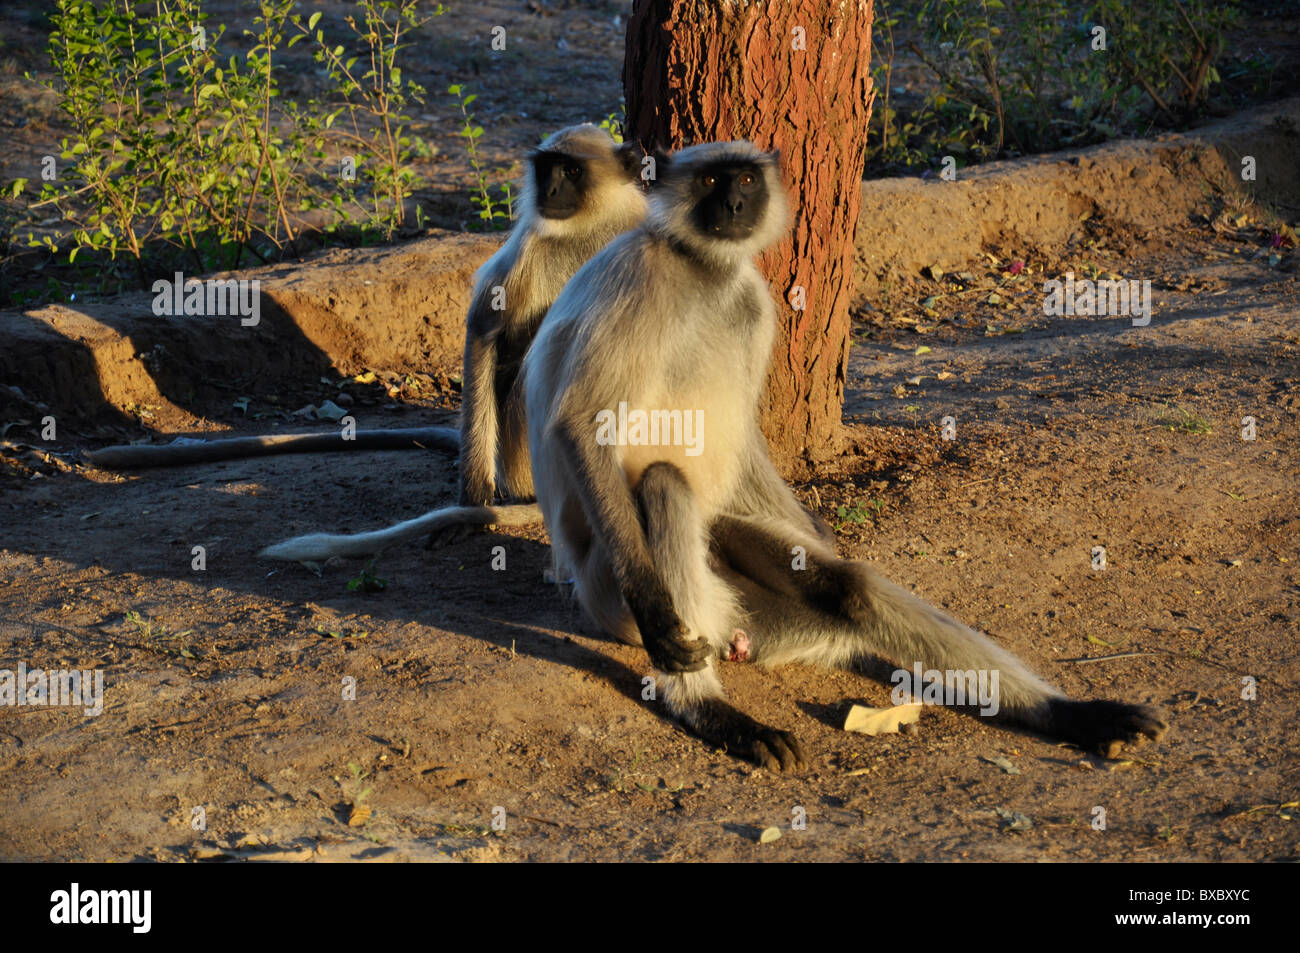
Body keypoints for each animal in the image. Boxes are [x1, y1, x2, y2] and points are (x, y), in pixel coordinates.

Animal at [260, 122, 650, 561]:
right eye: (546, 168)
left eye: (572, 171)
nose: (548, 190)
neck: (588, 229)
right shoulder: (529, 248)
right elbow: (484, 331)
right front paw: (472, 508)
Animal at [517, 141, 1170, 769]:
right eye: (710, 181)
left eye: (745, 179)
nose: (734, 205)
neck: (704, 268)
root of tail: (727, 627)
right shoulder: (639, 276)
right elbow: (582, 423)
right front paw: (659, 614)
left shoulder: (753, 301)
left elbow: (748, 439)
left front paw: (820, 530)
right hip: (614, 594)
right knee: (662, 485)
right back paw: (713, 712)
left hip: (733, 569)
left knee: (849, 589)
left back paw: (1073, 715)